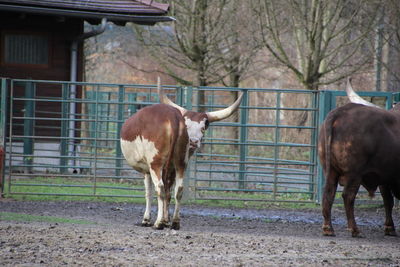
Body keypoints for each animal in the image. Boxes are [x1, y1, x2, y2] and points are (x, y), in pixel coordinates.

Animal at [120, 79, 242, 230]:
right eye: (188, 126)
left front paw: (147, 219)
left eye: (203, 128)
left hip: (156, 163)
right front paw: (166, 219)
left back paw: (158, 223)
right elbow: (169, 192)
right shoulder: (171, 169)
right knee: (178, 190)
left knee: (160, 188)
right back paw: (175, 222)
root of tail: (172, 117)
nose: (194, 142)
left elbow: (149, 192)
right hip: (180, 164)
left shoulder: (148, 169)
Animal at [318, 80, 400, 239]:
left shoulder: (385, 177)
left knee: (328, 193)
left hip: (331, 171)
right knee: (348, 196)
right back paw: (354, 229)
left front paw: (389, 227)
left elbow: (388, 200)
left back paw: (328, 228)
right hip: (354, 173)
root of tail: (340, 112)